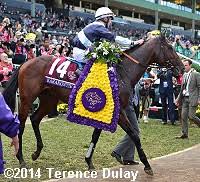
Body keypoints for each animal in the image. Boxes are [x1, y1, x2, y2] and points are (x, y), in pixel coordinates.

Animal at [2, 34, 184, 176]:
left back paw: (36, 152)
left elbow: (96, 136)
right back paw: (21, 158)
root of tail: (26, 63)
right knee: (21, 124)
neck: (121, 72)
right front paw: (147, 165)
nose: (182, 68)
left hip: (49, 100)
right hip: (27, 99)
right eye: (170, 47)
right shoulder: (118, 112)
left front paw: (89, 161)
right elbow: (134, 134)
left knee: (35, 119)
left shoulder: (106, 111)